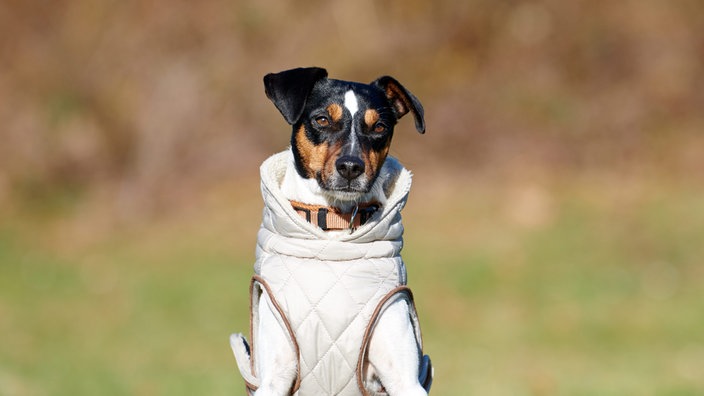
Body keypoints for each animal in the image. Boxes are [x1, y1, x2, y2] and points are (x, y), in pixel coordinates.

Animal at [231, 68, 432, 396]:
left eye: (379, 126)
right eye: (322, 119)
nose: (350, 166)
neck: (334, 232)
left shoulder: (405, 379)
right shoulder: (274, 376)